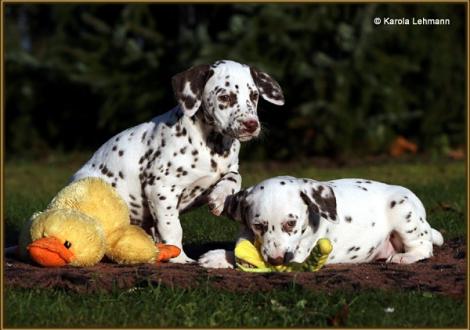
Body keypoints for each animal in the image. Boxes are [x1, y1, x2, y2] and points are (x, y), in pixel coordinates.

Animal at [71, 60, 284, 262]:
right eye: (225, 97)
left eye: (254, 96)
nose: (251, 125)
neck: (212, 146)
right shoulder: (162, 189)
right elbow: (172, 228)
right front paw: (180, 258)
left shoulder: (225, 170)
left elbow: (235, 177)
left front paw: (219, 196)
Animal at [199, 175, 444, 268]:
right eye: (258, 226)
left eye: (291, 223)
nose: (277, 260)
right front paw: (219, 255)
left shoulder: (299, 254)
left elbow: (248, 258)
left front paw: (219, 257)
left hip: (403, 211)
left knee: (424, 247)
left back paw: (405, 257)